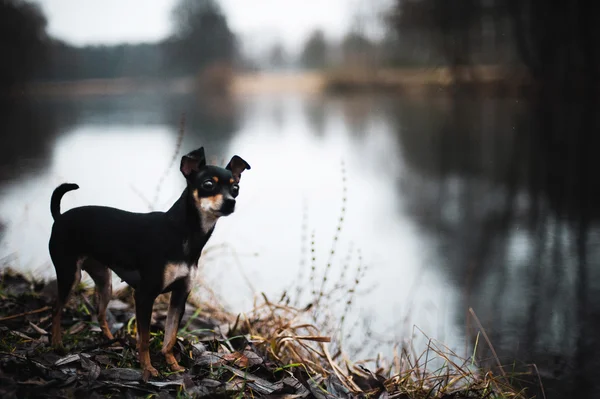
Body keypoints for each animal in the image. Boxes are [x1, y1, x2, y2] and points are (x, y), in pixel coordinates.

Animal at [48, 148, 251, 380]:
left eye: (235, 188)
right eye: (208, 184)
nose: (230, 201)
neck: (185, 233)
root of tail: (59, 217)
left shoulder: (180, 296)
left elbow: (170, 336)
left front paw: (173, 365)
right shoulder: (145, 295)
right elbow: (144, 339)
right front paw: (148, 369)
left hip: (104, 281)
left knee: (100, 312)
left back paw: (110, 341)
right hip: (70, 275)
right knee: (56, 308)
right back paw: (57, 344)